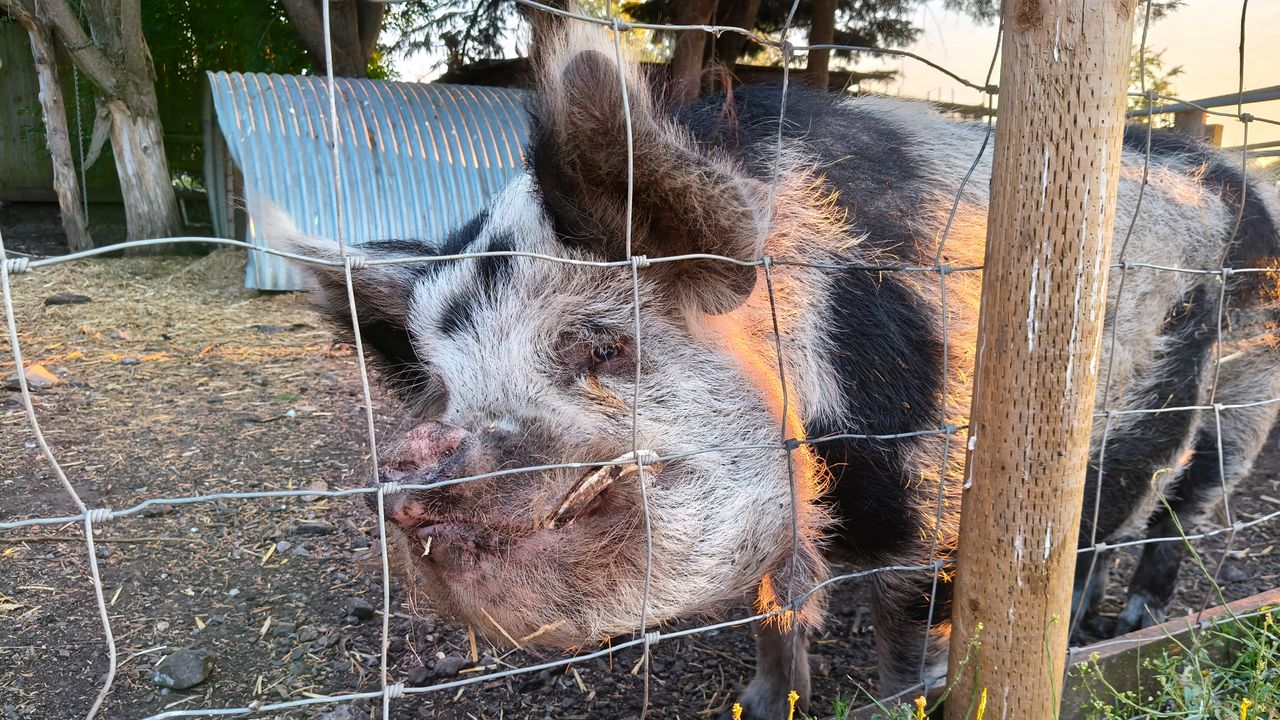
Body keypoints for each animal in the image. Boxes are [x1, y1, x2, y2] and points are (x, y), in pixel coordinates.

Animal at [259, 15, 1280, 719]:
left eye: (601, 346)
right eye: (440, 381)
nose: (412, 460)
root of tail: (1230, 182)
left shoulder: (942, 495)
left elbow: (909, 620)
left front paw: (902, 701)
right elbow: (771, 609)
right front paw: (757, 705)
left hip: (1226, 385)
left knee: (1166, 507)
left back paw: (1114, 629)